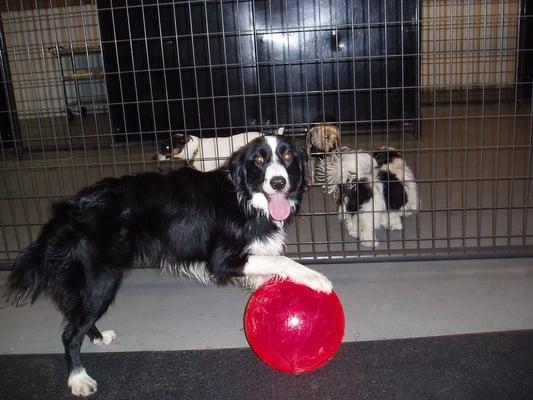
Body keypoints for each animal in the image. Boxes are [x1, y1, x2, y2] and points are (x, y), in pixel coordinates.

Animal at [8, 134, 330, 396]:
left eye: (288, 157)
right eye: (259, 160)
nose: (278, 182)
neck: (245, 197)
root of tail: (68, 208)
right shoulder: (222, 259)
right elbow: (282, 259)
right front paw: (316, 279)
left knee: (76, 314)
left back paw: (98, 337)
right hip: (102, 278)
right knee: (69, 333)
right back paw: (78, 378)